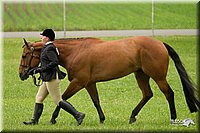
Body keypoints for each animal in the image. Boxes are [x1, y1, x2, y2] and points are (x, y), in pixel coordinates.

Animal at [19, 35, 200, 124]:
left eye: (24, 55)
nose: (21, 74)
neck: (75, 52)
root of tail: (160, 43)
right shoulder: (89, 83)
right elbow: (96, 101)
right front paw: (102, 119)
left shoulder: (78, 82)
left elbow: (62, 99)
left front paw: (54, 118)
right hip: (140, 74)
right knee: (147, 94)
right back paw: (132, 117)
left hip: (158, 76)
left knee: (169, 94)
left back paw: (173, 118)